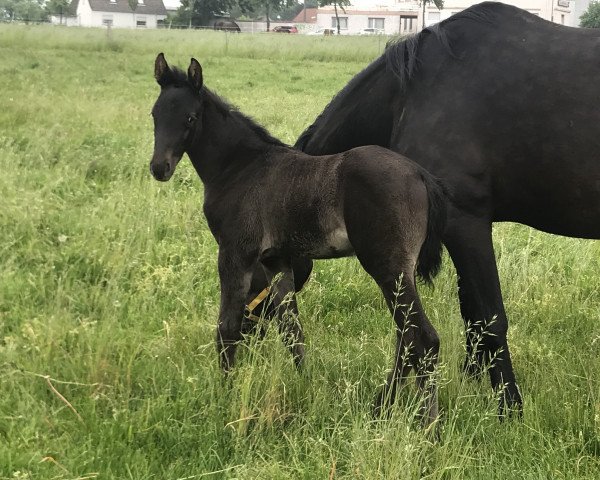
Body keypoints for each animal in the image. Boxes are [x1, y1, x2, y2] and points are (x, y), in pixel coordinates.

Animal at [150, 54, 448, 426]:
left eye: (190, 118)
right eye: (155, 114)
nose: (159, 168)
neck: (240, 167)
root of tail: (420, 174)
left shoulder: (235, 253)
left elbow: (227, 328)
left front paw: (223, 397)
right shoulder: (275, 260)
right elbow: (292, 330)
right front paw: (305, 385)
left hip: (387, 266)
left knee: (422, 339)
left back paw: (428, 426)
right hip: (398, 271)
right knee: (405, 337)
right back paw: (382, 409)